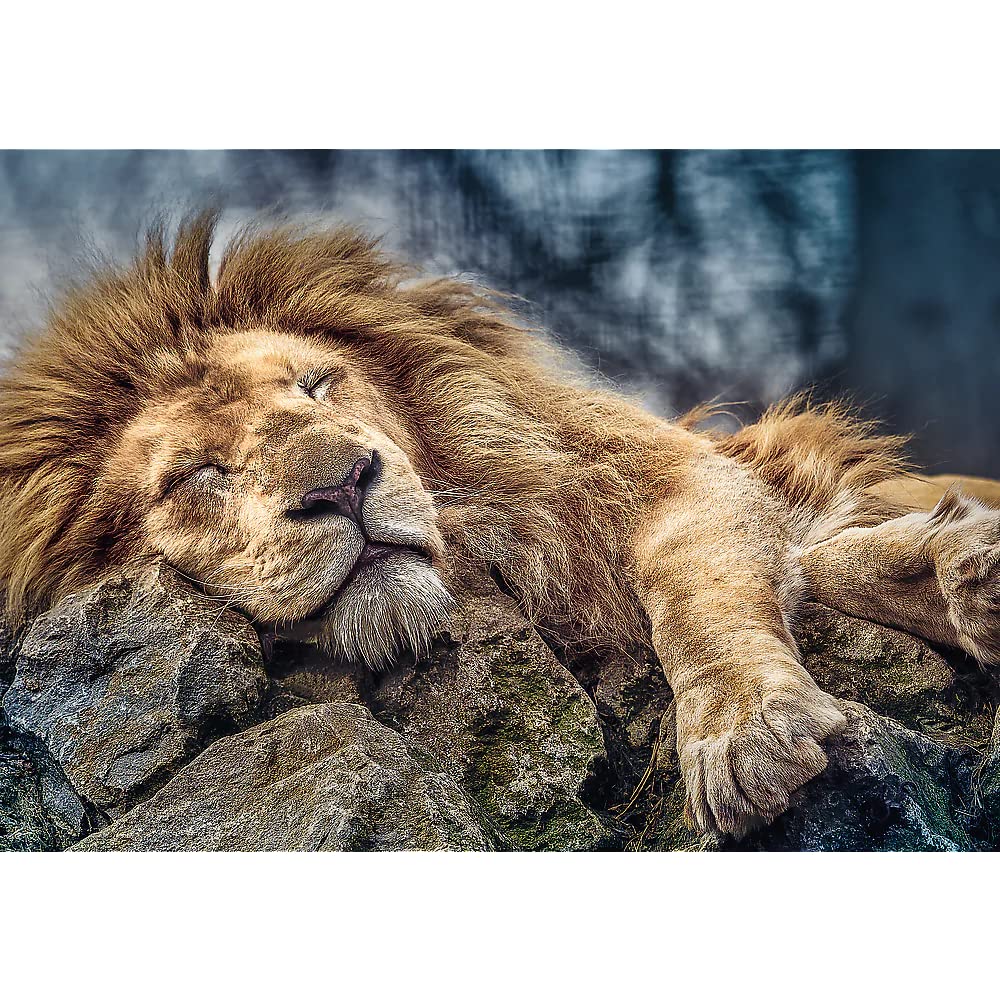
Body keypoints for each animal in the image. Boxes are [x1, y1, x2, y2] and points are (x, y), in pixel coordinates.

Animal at [1, 211, 998, 840]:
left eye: (316, 385)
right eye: (197, 475)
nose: (345, 484)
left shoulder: (671, 473)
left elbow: (698, 590)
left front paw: (744, 730)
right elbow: (818, 559)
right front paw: (954, 569)